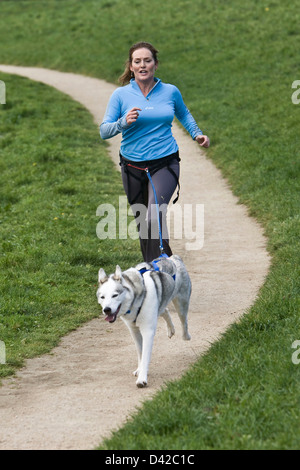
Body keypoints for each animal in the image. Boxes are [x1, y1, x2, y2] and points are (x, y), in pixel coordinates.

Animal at [97, 255, 191, 388]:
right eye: (102, 297)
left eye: (115, 295)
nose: (107, 310)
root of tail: (172, 258)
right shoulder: (134, 331)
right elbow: (140, 353)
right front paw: (140, 369)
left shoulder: (147, 331)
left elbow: (145, 355)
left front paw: (142, 379)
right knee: (165, 310)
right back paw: (171, 329)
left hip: (181, 304)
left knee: (184, 321)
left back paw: (186, 336)